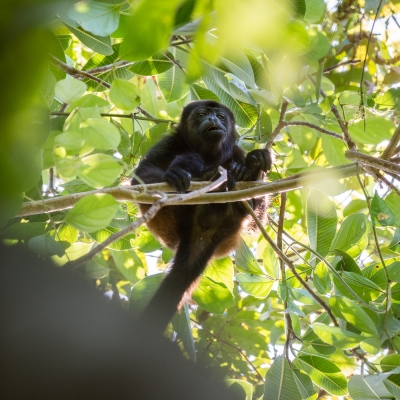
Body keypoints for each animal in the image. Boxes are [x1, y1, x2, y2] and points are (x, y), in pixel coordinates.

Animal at [131, 100, 272, 332]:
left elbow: (258, 217)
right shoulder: (170, 142)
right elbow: (140, 178)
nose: (213, 119)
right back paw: (204, 175)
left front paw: (254, 165)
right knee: (190, 157)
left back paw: (245, 173)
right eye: (202, 114)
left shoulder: (237, 151)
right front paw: (174, 174)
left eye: (220, 116)